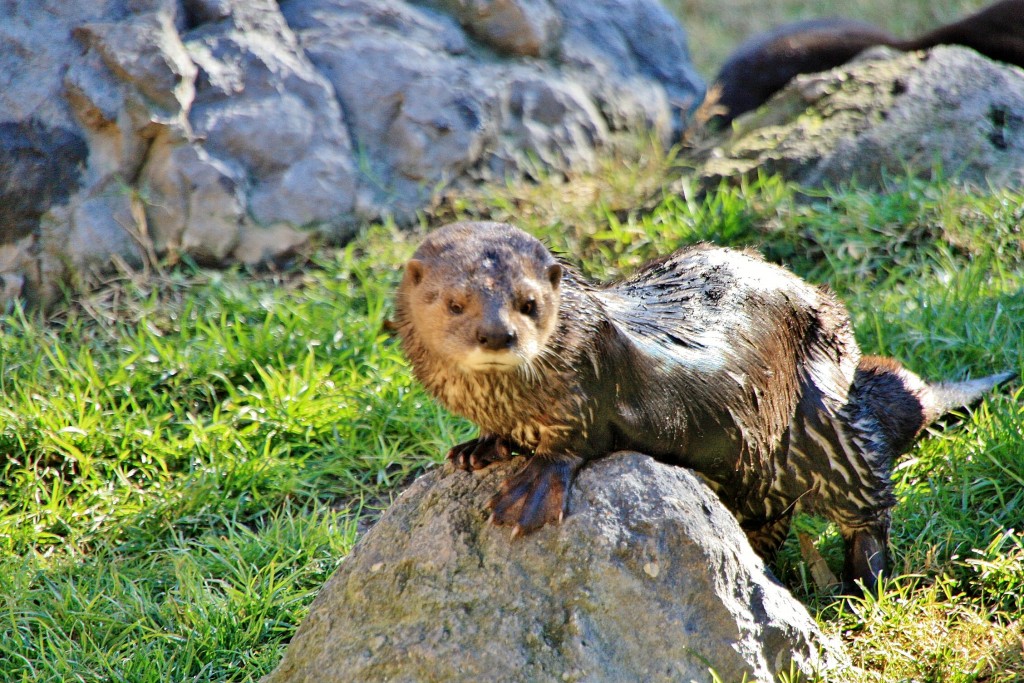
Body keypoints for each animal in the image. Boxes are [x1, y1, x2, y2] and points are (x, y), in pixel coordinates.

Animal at [393, 220, 1015, 593]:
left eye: (528, 302)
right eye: (455, 303)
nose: (497, 336)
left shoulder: (595, 379)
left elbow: (581, 437)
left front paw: (534, 484)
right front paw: (480, 447)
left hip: (825, 418)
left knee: (869, 498)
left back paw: (864, 579)